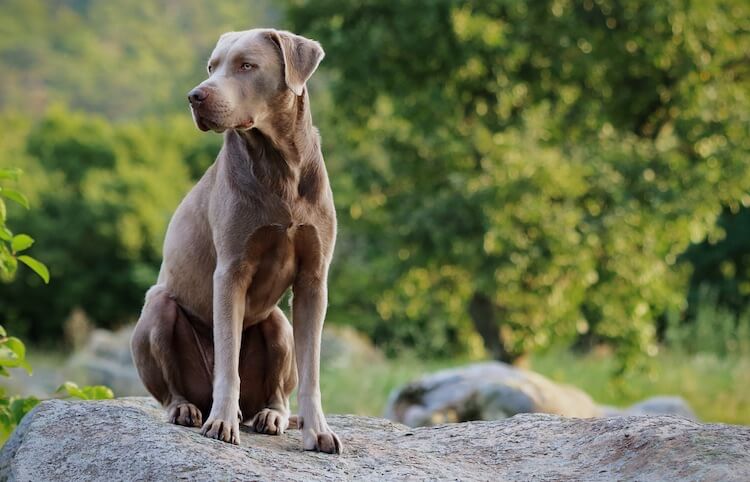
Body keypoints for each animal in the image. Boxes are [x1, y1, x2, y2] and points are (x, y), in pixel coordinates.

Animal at [131, 28, 342, 454]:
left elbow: (311, 370)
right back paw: (189, 410)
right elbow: (228, 359)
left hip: (278, 324)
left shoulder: (314, 279)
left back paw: (271, 416)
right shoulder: (231, 270)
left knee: (276, 386)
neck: (279, 164)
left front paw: (319, 431)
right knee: (172, 385)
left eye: (247, 65)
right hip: (157, 309)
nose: (195, 96)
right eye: (212, 66)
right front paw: (222, 423)